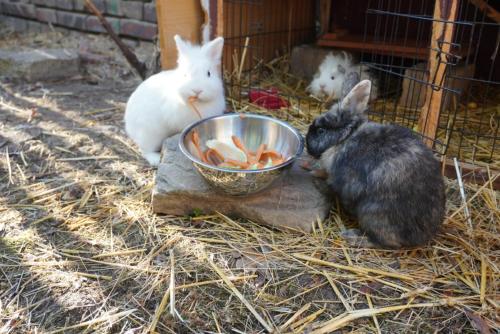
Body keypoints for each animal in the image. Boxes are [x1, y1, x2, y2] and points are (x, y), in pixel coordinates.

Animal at [124, 35, 226, 166]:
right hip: (150, 135)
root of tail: (129, 126)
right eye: (185, 75)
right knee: (145, 150)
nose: (197, 90)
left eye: (209, 73)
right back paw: (155, 159)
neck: (197, 103)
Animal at [304, 80, 446, 248]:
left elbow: (331, 187)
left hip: (371, 214)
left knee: (384, 242)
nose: (306, 142)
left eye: (320, 131)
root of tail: (423, 235)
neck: (344, 138)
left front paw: (314, 177)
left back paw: (352, 237)